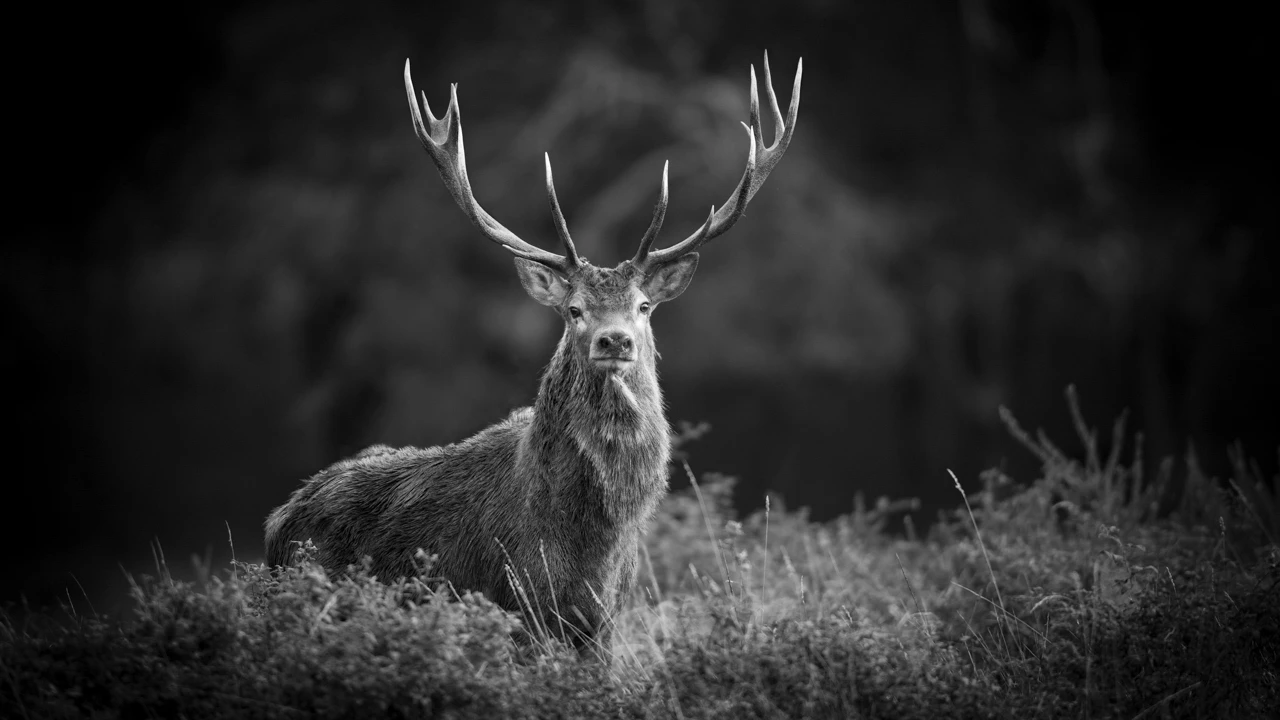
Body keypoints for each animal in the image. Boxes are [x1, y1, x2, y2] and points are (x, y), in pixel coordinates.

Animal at [264, 52, 801, 661]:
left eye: (643, 306)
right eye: (573, 309)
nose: (615, 340)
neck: (586, 540)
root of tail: (279, 522)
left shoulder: (604, 619)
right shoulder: (518, 602)